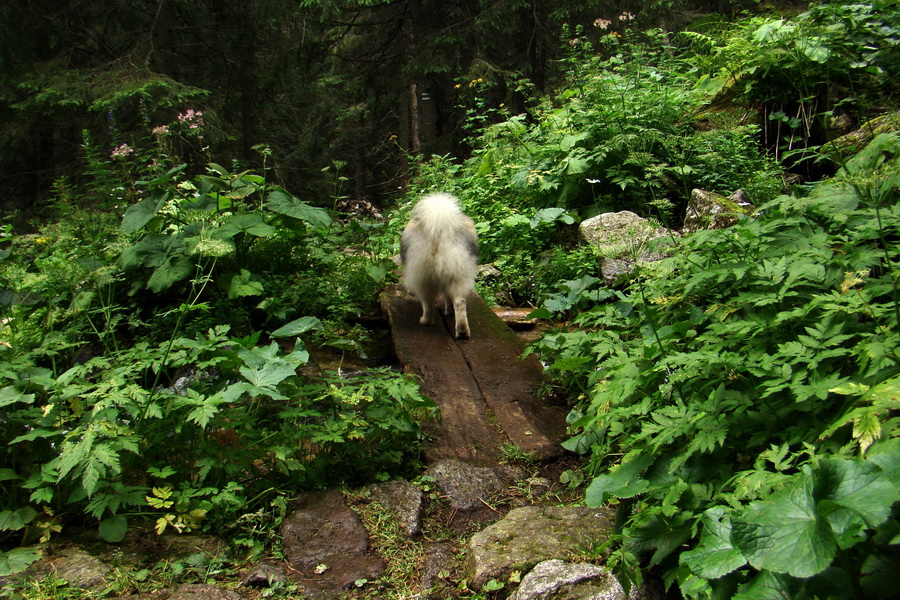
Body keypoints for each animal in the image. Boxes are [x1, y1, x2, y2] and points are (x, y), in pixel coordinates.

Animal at [400, 196, 478, 340]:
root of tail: (441, 229)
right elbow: (448, 297)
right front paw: (449, 311)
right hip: (458, 273)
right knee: (459, 302)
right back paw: (462, 331)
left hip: (424, 276)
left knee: (428, 303)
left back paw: (426, 321)